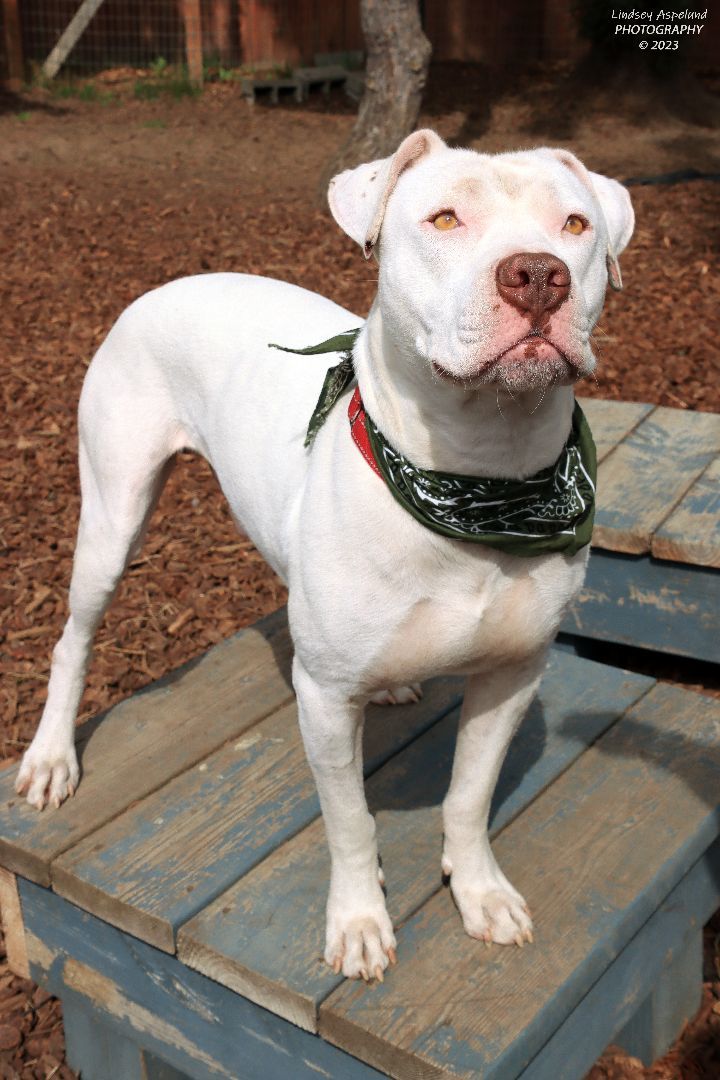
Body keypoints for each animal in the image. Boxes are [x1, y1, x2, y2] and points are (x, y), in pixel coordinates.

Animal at [19, 130, 634, 984]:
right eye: (445, 219)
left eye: (575, 225)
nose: (539, 274)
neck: (477, 481)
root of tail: (171, 281)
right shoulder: (326, 701)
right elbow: (349, 820)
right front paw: (359, 922)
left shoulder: (512, 676)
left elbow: (469, 798)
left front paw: (479, 891)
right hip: (113, 515)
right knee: (73, 638)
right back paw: (51, 757)